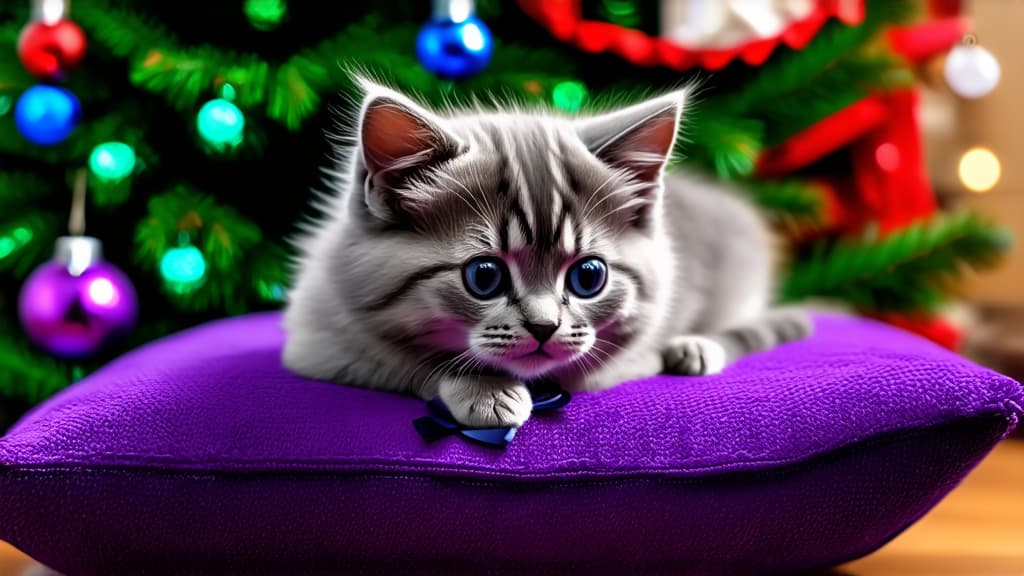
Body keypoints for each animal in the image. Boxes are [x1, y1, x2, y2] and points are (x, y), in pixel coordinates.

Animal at [282, 79, 806, 426]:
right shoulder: (321, 342)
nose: (544, 326)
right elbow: (405, 363)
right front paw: (486, 390)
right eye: (484, 276)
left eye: (588, 276)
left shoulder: (626, 358)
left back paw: (695, 347)